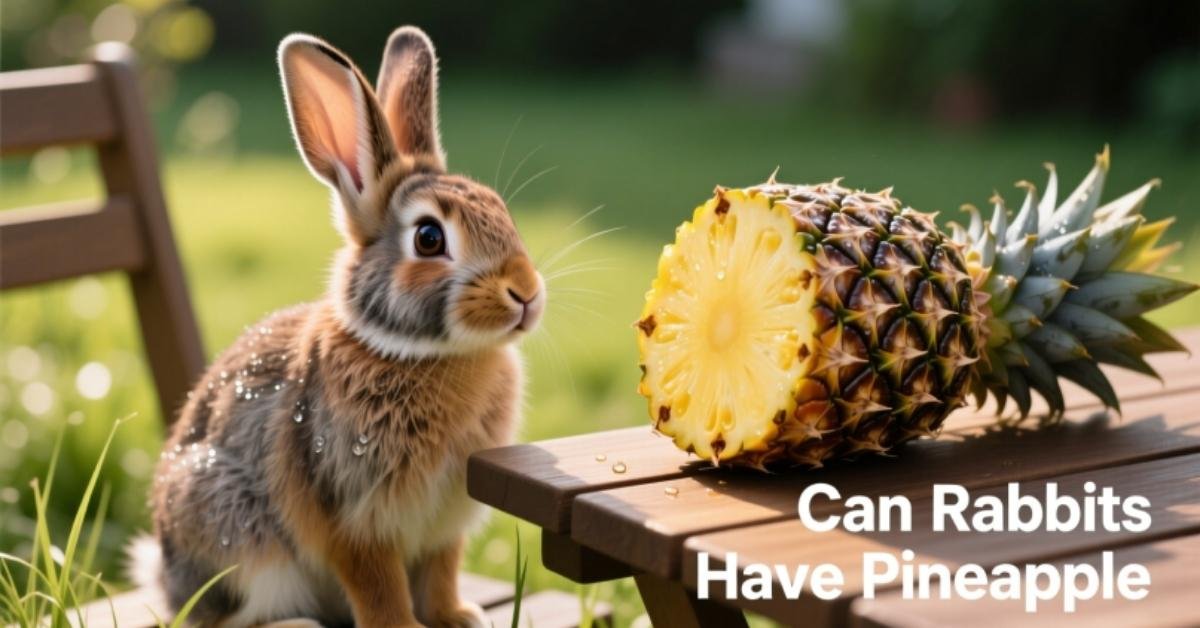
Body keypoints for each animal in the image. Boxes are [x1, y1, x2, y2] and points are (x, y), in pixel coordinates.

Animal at [134, 26, 545, 627]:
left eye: (501, 211)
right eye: (429, 238)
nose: (527, 294)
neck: (419, 352)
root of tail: (163, 577)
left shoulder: (444, 524)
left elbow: (441, 570)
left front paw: (457, 616)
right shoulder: (351, 516)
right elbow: (377, 585)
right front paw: (402, 627)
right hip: (230, 524)